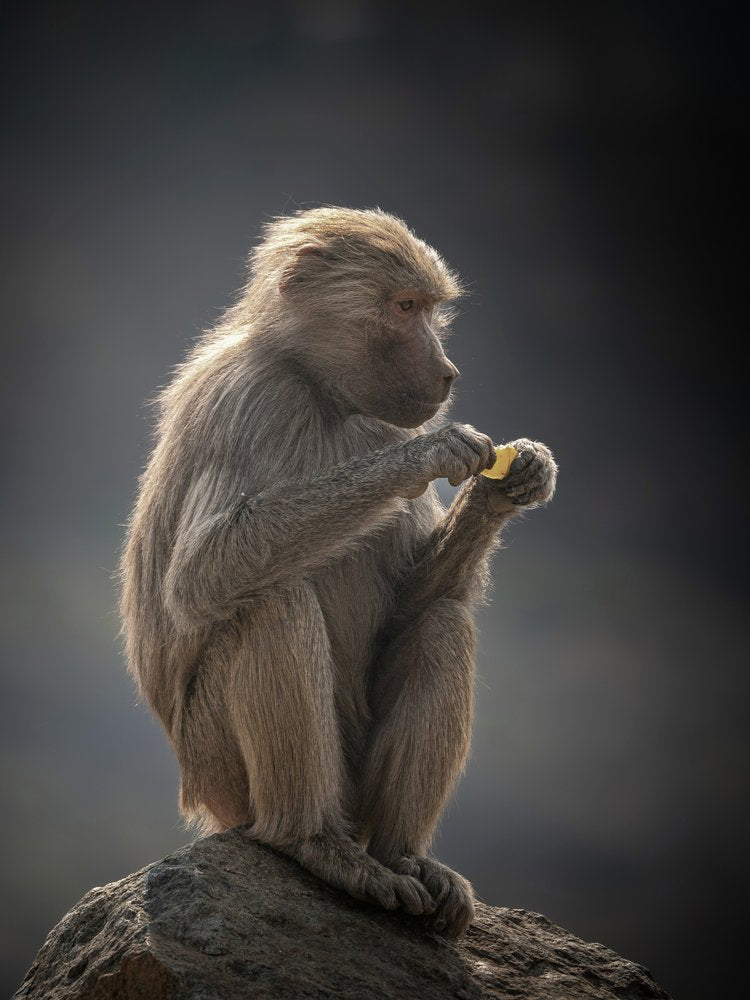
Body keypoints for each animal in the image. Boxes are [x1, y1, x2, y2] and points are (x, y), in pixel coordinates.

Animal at [119, 206, 557, 938]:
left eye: (431, 309)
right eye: (404, 307)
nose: (448, 375)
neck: (318, 389)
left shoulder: (372, 422)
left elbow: (412, 602)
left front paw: (507, 483)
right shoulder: (250, 402)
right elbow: (204, 573)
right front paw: (428, 454)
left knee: (442, 624)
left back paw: (403, 857)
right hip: (222, 771)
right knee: (270, 600)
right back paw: (313, 843)